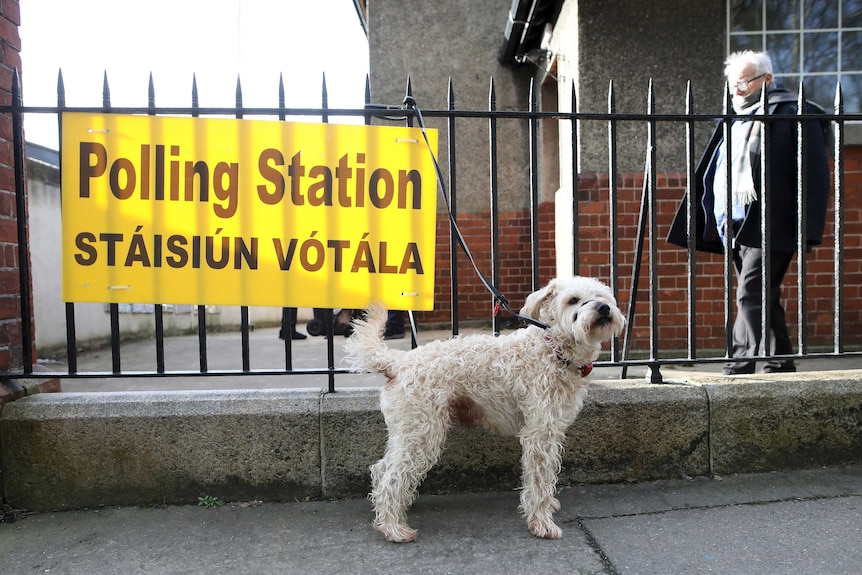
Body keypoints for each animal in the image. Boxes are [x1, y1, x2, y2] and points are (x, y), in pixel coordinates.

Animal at [344, 276, 628, 544]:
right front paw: (542, 522)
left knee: (381, 469)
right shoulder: (539, 433)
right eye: (573, 300)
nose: (603, 308)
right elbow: (538, 478)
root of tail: (398, 362)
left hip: (406, 431)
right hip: (421, 434)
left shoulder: (552, 429)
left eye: (602, 296)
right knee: (391, 478)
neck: (552, 350)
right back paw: (394, 528)